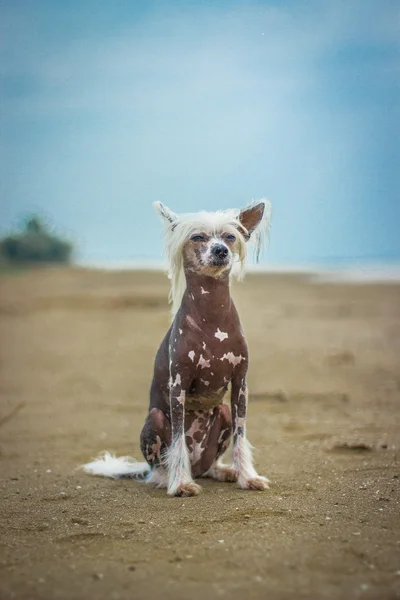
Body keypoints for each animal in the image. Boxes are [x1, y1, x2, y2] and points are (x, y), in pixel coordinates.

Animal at [84, 200, 272, 496]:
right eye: (198, 237)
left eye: (229, 237)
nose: (221, 250)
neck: (212, 317)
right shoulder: (178, 385)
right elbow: (178, 441)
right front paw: (181, 483)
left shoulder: (240, 383)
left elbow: (241, 437)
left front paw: (248, 477)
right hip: (155, 419)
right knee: (159, 465)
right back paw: (169, 477)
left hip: (224, 414)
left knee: (210, 463)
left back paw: (221, 471)